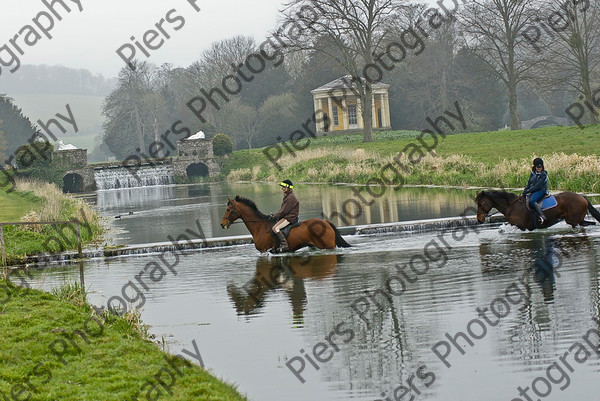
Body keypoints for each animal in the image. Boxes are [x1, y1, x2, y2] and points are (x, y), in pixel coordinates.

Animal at [220, 195, 352, 252]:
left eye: (228, 209)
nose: (222, 224)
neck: (260, 227)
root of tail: (326, 222)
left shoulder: (264, 252)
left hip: (328, 246)